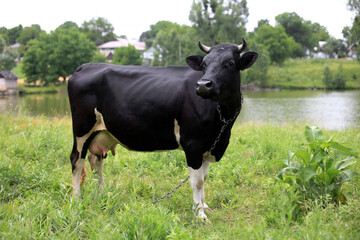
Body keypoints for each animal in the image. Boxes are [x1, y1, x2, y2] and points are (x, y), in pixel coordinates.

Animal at [67, 38, 258, 220]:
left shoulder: (209, 145)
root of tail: (87, 66)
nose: (203, 84)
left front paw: (204, 206)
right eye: (204, 64)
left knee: (96, 159)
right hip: (82, 129)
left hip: (103, 132)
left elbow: (204, 178)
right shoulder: (193, 145)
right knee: (77, 160)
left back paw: (102, 192)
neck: (222, 123)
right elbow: (197, 181)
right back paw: (77, 198)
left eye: (230, 62)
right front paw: (199, 214)